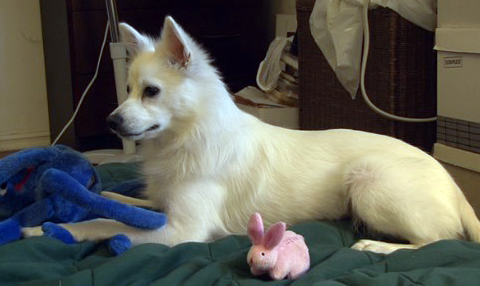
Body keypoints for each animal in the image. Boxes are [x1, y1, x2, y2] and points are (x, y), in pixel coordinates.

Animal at [24, 16, 480, 254]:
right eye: (129, 89)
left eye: (151, 92)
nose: (111, 123)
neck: (188, 134)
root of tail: (456, 188)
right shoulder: (162, 204)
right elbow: (115, 203)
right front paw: (82, 198)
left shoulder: (182, 231)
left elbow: (103, 221)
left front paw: (44, 230)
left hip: (370, 182)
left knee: (440, 241)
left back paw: (378, 247)